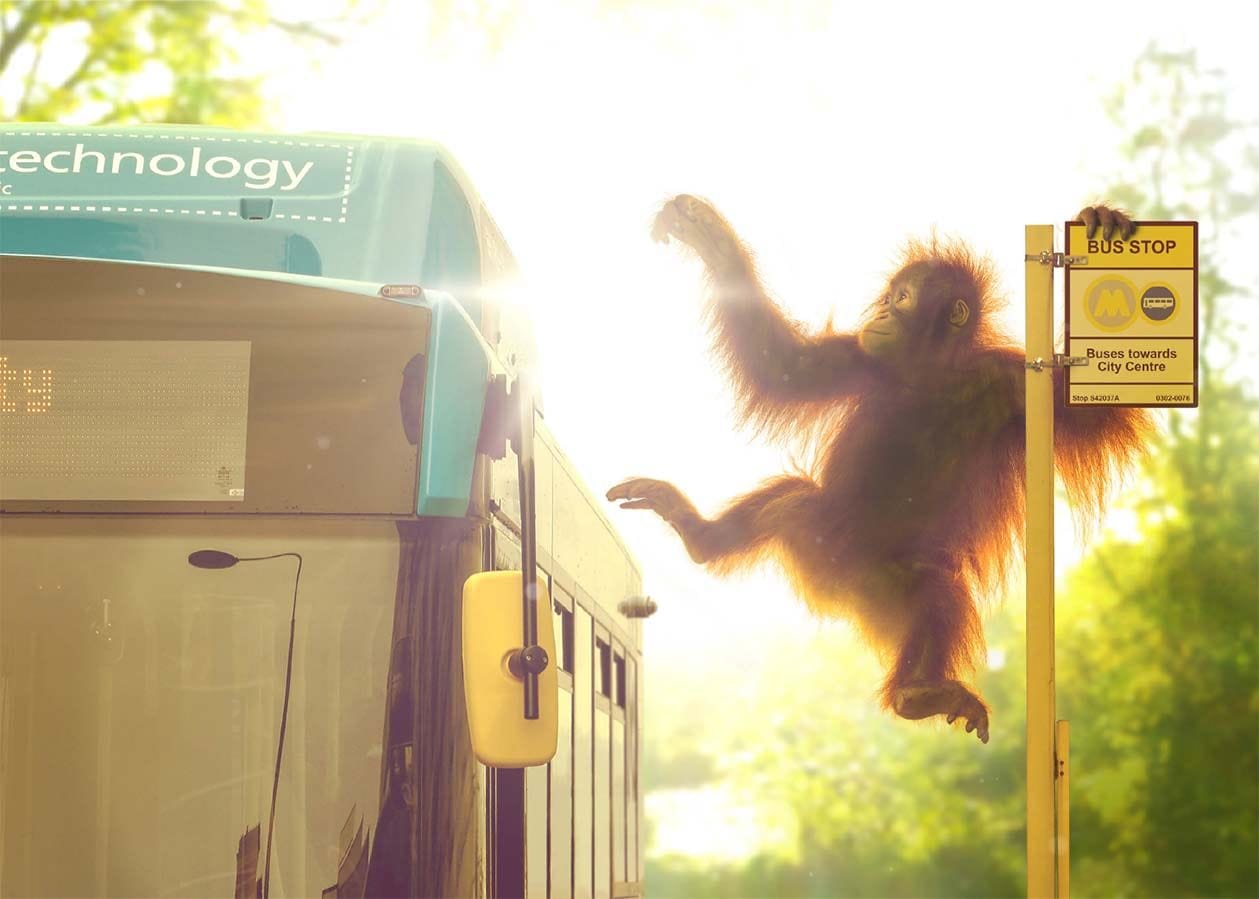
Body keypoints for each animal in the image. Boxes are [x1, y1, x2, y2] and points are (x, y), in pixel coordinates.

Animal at [607, 196, 1150, 743]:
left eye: (905, 298)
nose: (885, 309)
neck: (930, 373)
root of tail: (839, 591)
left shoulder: (1010, 382)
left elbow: (1088, 410)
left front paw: (1101, 224)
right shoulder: (859, 354)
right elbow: (787, 367)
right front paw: (707, 236)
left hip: (887, 584)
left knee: (937, 590)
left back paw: (916, 693)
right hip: (818, 538)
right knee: (797, 498)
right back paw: (703, 536)